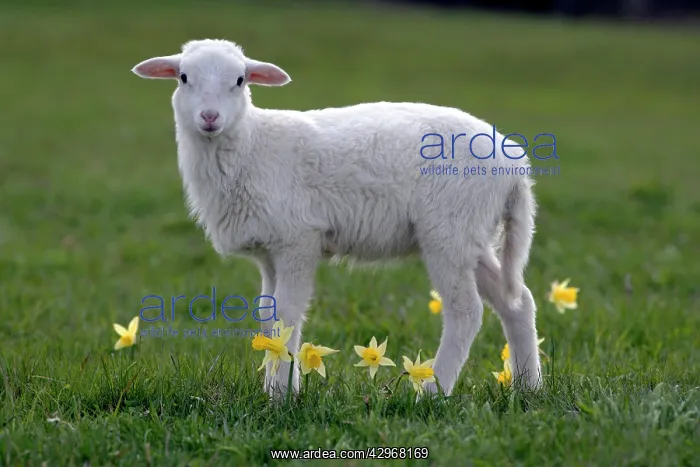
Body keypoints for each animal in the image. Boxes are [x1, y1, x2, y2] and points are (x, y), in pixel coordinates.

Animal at [131, 39, 542, 398]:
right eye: (184, 77)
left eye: (240, 80)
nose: (209, 117)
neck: (251, 146)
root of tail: (515, 164)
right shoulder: (269, 249)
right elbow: (267, 313)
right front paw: (272, 386)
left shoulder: (298, 239)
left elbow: (288, 315)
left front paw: (283, 395)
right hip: (470, 232)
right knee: (517, 300)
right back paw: (529, 388)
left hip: (448, 228)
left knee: (466, 311)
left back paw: (432, 391)